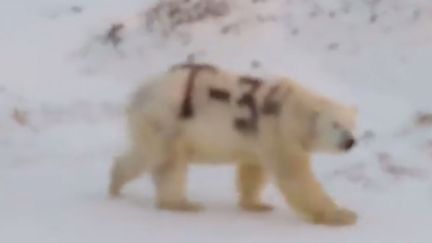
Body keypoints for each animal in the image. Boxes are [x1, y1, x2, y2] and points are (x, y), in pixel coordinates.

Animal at [108, 63, 358, 226]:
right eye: (336, 124)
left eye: (353, 124)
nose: (350, 141)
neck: (294, 109)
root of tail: (141, 91)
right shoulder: (279, 131)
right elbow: (296, 176)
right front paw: (342, 215)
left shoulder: (259, 138)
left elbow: (253, 170)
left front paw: (257, 205)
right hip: (166, 118)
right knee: (161, 158)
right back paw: (175, 202)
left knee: (157, 158)